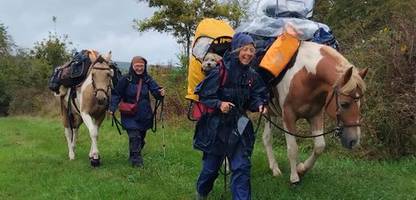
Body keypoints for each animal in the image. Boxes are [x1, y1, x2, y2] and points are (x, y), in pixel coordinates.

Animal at [264, 41, 368, 184]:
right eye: (344, 104)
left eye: (360, 104)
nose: (354, 141)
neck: (304, 76)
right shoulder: (288, 116)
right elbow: (292, 148)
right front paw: (294, 177)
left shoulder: (315, 115)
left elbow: (319, 146)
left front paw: (301, 169)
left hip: (271, 114)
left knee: (266, 138)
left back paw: (274, 169)